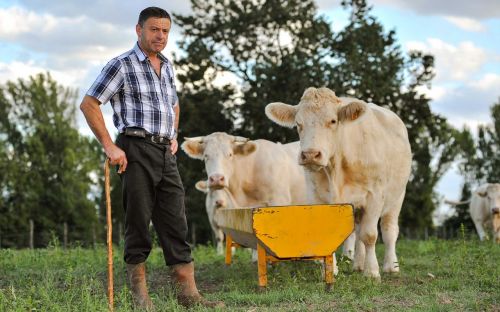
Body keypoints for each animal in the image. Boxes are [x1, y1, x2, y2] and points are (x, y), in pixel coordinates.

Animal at [268, 86, 412, 280]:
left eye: (333, 121)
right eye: (298, 123)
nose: (310, 154)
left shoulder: (375, 195)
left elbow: (370, 235)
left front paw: (372, 272)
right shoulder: (317, 197)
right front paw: (329, 271)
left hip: (397, 196)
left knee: (389, 230)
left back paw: (391, 267)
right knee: (358, 231)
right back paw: (358, 264)